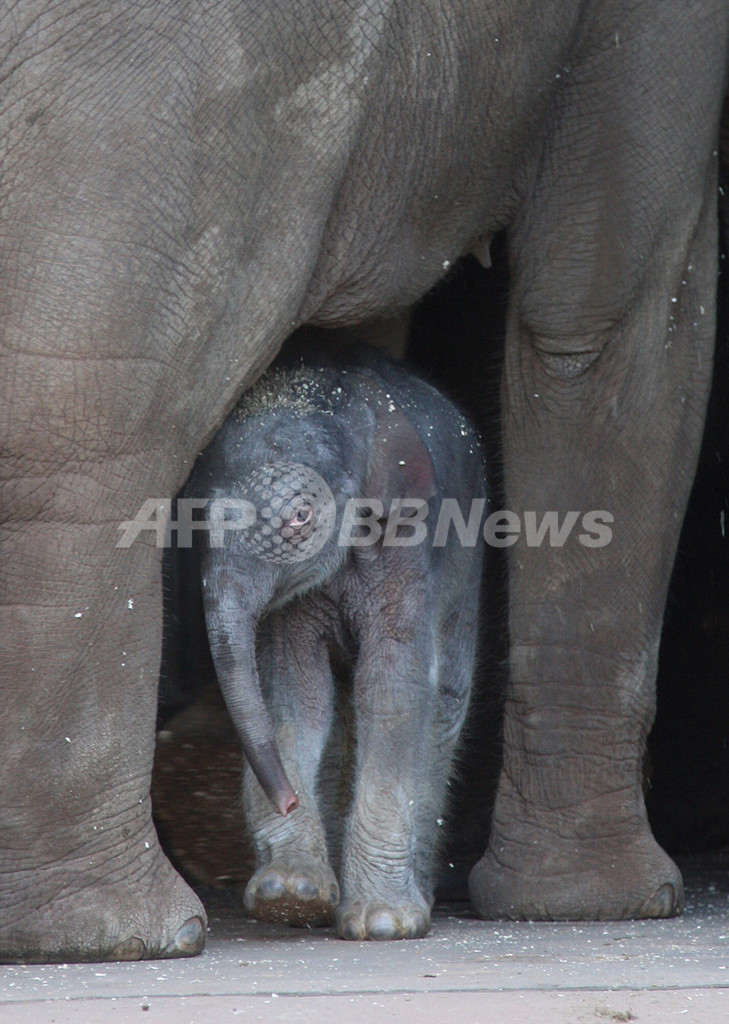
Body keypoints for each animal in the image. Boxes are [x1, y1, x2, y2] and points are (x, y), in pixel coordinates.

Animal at [188, 344, 483, 937]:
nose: (285, 800)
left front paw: (384, 922)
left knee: (444, 703)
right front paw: (291, 896)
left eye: (302, 517)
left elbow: (392, 687)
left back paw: (419, 899)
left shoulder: (410, 546)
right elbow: (295, 691)